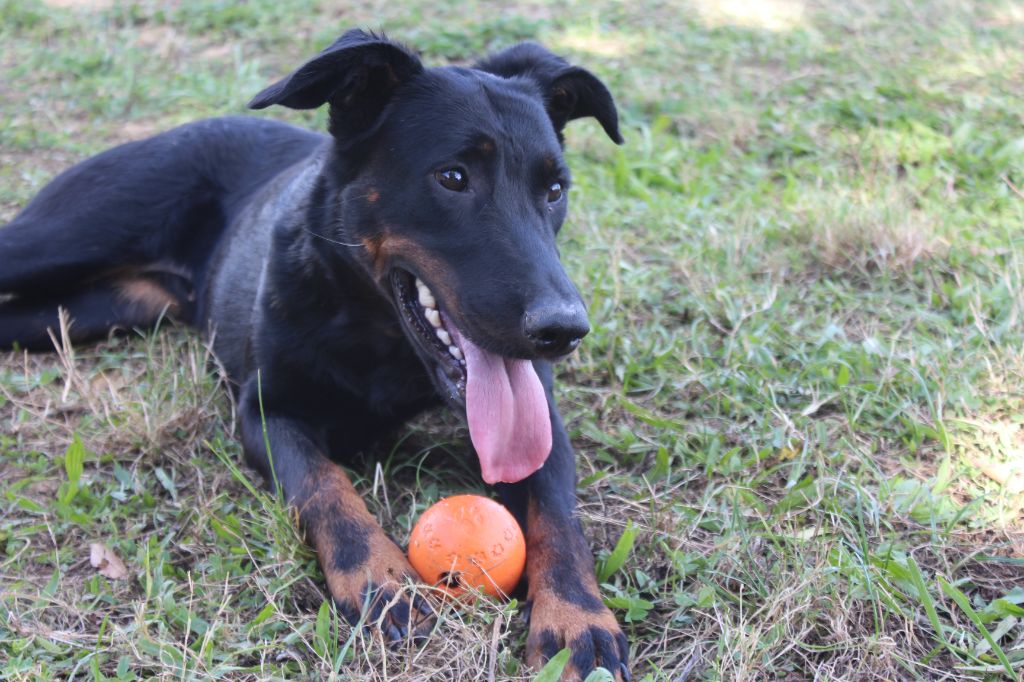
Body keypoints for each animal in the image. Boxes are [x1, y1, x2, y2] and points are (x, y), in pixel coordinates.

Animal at [0, 29, 626, 675]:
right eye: (452, 177)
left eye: (554, 191)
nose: (564, 329)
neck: (378, 334)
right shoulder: (267, 413)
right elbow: (325, 486)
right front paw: (380, 578)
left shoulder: (542, 427)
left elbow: (559, 518)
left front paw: (576, 614)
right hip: (64, 238)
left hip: (92, 309)